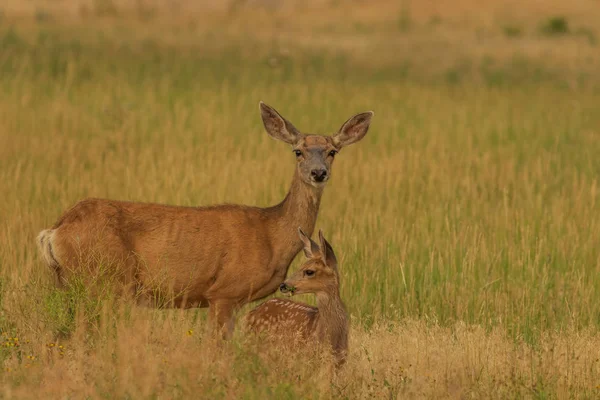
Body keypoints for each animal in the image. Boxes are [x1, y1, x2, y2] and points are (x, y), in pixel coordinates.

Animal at [36, 102, 370, 338]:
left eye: (332, 151)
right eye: (298, 151)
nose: (318, 173)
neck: (272, 234)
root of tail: (54, 231)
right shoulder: (223, 293)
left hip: (73, 283)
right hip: (104, 280)